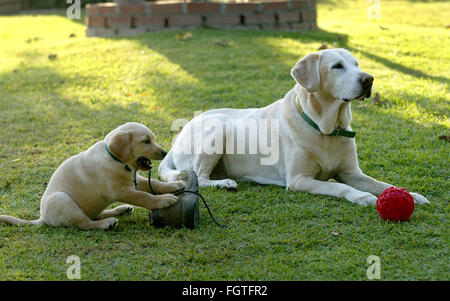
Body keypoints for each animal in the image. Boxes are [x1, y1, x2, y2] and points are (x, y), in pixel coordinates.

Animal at [0, 120, 185, 229]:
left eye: (153, 139)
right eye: (145, 141)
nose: (164, 152)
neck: (117, 161)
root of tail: (43, 218)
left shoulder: (134, 181)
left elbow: (155, 183)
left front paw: (174, 185)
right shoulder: (120, 191)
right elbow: (144, 197)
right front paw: (163, 200)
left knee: (95, 215)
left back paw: (121, 209)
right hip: (62, 200)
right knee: (86, 223)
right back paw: (107, 223)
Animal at [159, 48, 428, 205]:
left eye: (357, 64)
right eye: (337, 66)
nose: (369, 79)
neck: (326, 128)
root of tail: (176, 139)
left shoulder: (353, 173)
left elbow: (383, 185)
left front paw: (411, 195)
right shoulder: (299, 180)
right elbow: (339, 187)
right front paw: (363, 197)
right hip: (219, 126)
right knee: (199, 176)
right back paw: (225, 184)